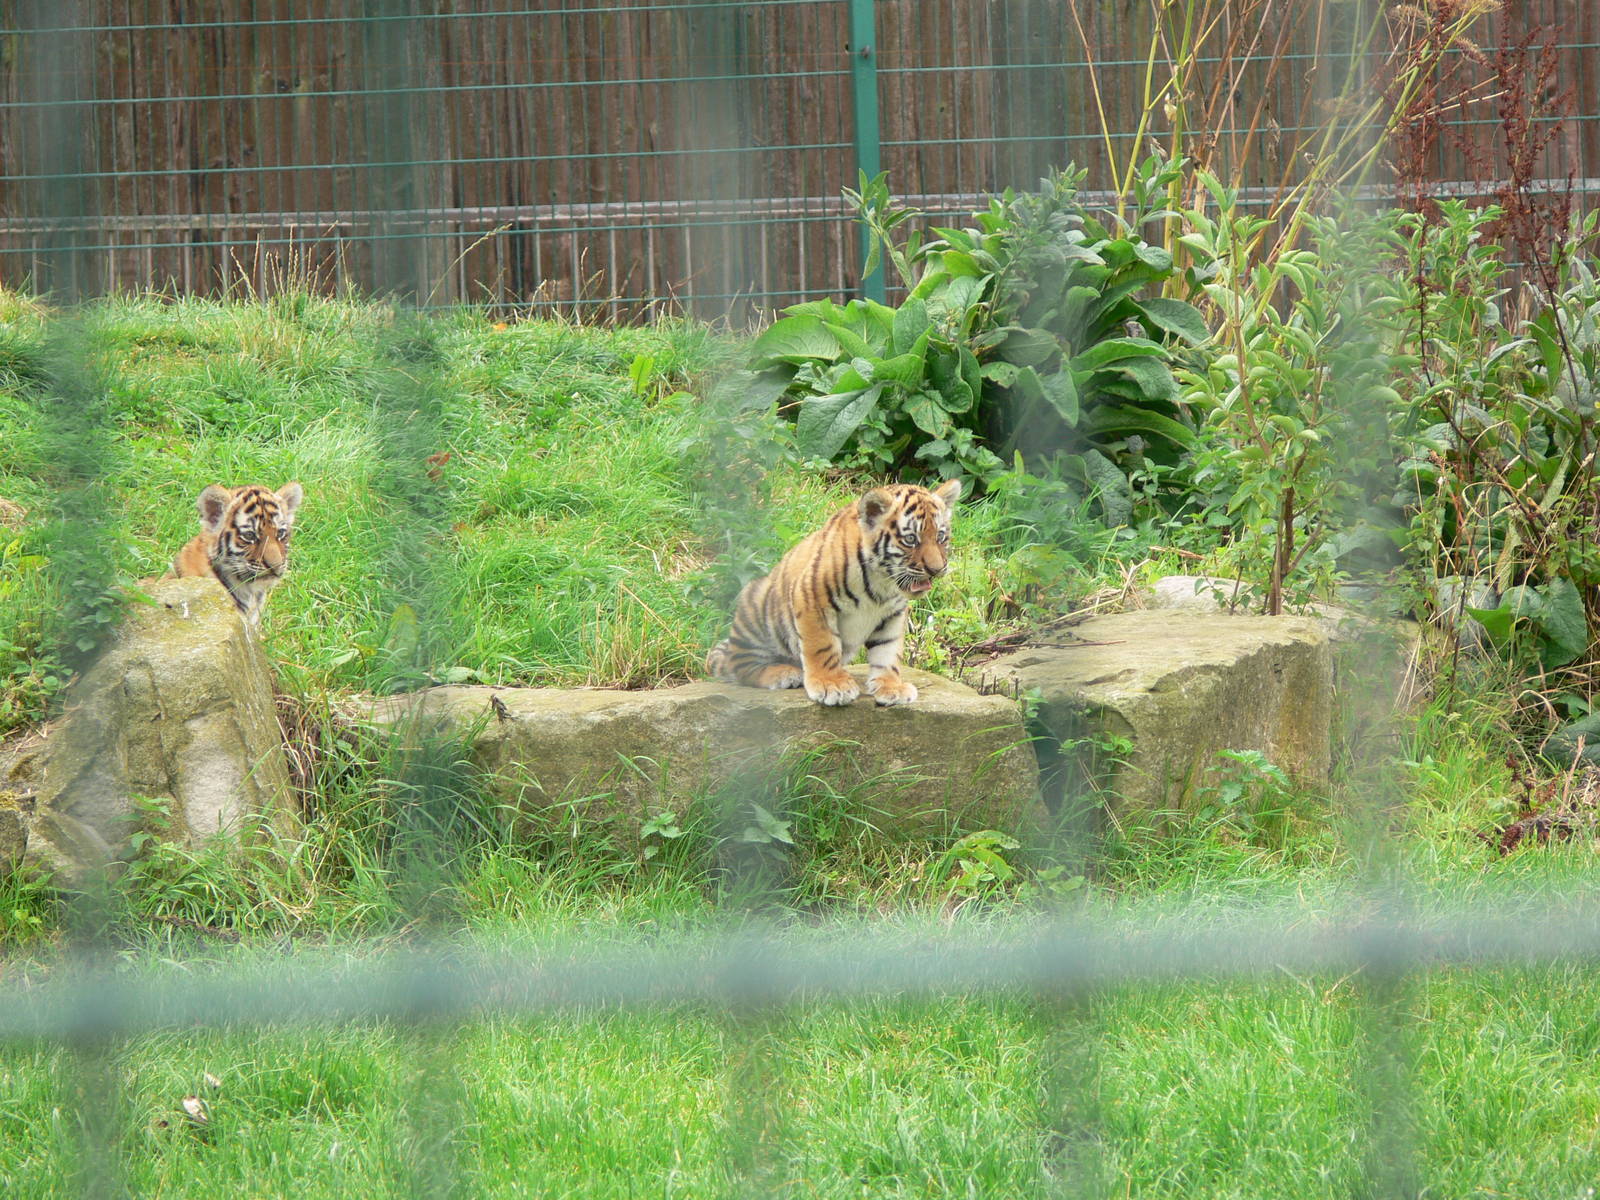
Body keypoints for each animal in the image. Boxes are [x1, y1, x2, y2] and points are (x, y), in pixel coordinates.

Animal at [707, 479, 961, 707]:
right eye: (910, 539)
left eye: (940, 536)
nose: (937, 569)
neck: (883, 582)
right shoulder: (811, 598)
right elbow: (822, 645)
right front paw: (832, 685)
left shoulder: (893, 614)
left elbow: (888, 652)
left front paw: (891, 687)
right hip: (755, 604)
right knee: (741, 666)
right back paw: (782, 674)